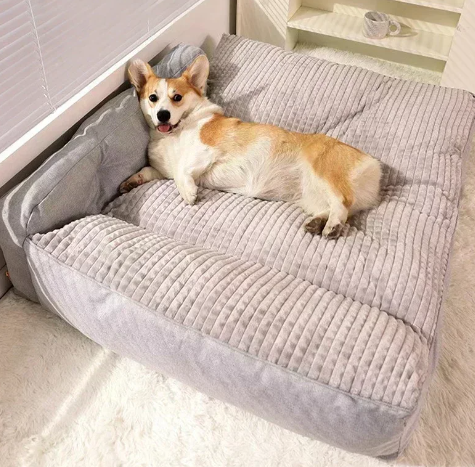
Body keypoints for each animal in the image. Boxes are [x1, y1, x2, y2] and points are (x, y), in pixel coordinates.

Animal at [121, 54, 382, 238]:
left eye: (177, 97)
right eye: (153, 98)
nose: (163, 115)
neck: (174, 133)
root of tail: (374, 168)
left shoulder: (205, 149)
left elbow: (182, 170)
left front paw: (188, 192)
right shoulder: (161, 169)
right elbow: (148, 170)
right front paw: (130, 182)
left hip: (323, 173)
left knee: (342, 202)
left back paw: (332, 226)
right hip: (310, 195)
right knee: (338, 207)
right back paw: (318, 223)